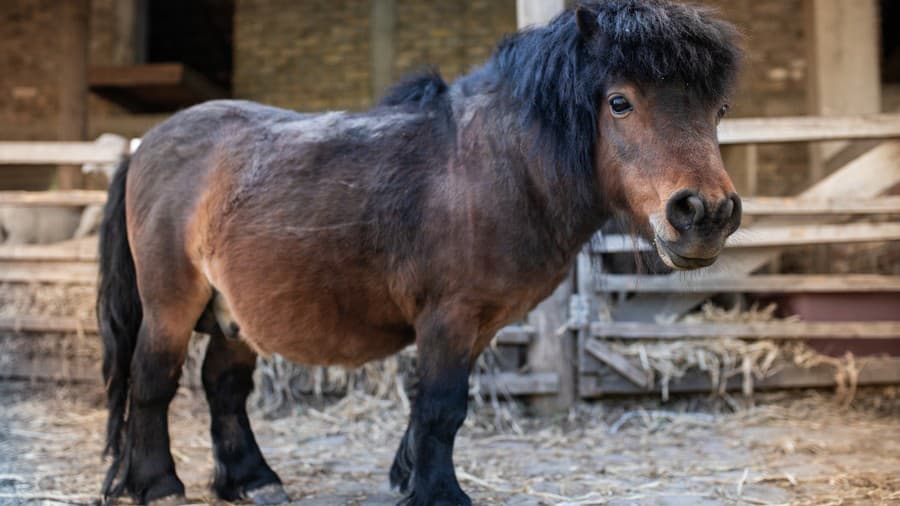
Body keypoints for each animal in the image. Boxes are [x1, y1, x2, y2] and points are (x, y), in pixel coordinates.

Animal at [98, 1, 740, 504]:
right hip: (170, 305)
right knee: (152, 380)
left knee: (223, 386)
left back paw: (252, 481)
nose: (704, 213)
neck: (494, 167)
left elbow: (433, 408)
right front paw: (439, 493)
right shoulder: (449, 315)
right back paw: (158, 485)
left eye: (719, 110)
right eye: (620, 103)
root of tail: (145, 144)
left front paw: (408, 477)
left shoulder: (478, 324)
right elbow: (440, 406)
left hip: (234, 316)